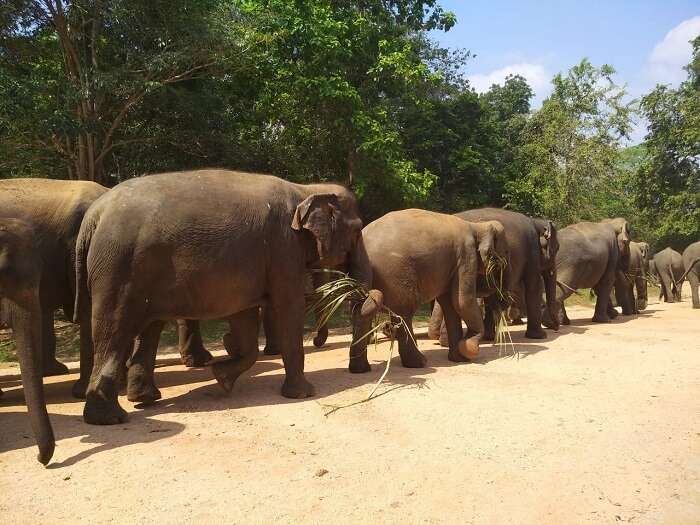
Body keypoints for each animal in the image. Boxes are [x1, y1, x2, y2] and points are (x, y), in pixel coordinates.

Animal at [74, 170, 378, 424]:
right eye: (357, 229)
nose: (361, 371)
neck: (306, 188)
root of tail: (94, 215)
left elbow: (243, 319)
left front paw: (222, 377)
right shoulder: (283, 248)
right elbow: (288, 306)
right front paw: (303, 394)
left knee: (147, 328)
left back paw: (144, 400)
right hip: (118, 269)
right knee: (114, 332)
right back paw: (109, 418)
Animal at [348, 209, 506, 372]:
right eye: (504, 253)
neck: (476, 225)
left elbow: (450, 305)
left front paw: (460, 358)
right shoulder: (466, 255)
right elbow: (462, 301)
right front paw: (469, 348)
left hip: (362, 272)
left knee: (361, 310)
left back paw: (360, 369)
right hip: (394, 272)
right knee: (404, 312)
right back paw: (419, 363)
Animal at [426, 209, 556, 344]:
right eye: (555, 250)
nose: (555, 327)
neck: (536, 221)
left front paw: (488, 337)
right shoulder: (532, 251)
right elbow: (534, 285)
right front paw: (540, 336)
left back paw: (444, 341)